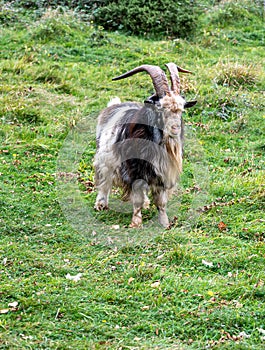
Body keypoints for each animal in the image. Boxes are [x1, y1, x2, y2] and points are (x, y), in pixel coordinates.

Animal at [94, 63, 195, 228]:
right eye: (160, 108)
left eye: (181, 110)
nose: (175, 129)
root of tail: (113, 105)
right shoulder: (135, 171)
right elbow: (137, 200)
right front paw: (136, 224)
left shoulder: (162, 175)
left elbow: (161, 202)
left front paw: (165, 224)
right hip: (104, 158)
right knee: (104, 181)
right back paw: (101, 204)